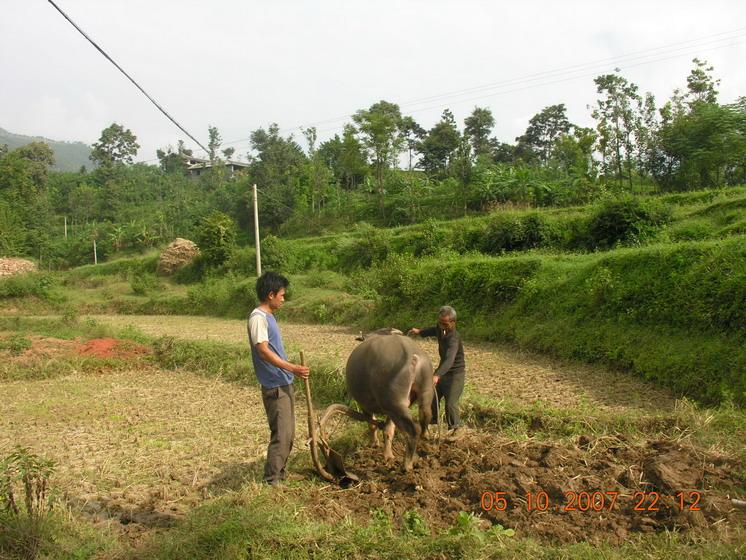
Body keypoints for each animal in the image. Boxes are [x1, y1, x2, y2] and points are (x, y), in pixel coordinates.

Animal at [344, 334, 434, 470]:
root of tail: (413, 356)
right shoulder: (388, 412)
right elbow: (388, 430)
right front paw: (388, 456)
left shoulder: (365, 405)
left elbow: (372, 425)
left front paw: (374, 444)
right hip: (424, 393)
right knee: (425, 418)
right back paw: (422, 447)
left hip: (396, 405)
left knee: (413, 430)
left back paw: (407, 465)